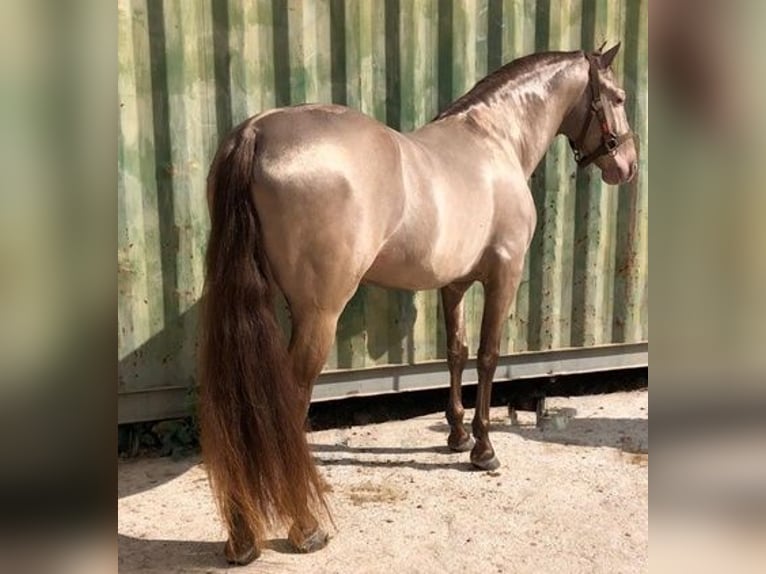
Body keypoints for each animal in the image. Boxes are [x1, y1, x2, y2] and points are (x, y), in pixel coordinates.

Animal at [201, 46, 640, 568]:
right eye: (618, 96)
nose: (627, 166)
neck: (494, 140)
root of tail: (257, 131)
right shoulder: (504, 275)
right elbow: (488, 357)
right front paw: (484, 448)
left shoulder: (453, 285)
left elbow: (456, 352)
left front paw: (457, 436)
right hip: (317, 316)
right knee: (284, 403)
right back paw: (304, 526)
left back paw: (242, 535)